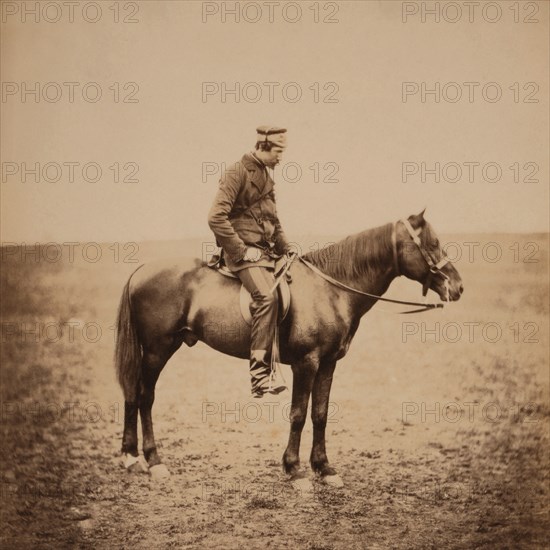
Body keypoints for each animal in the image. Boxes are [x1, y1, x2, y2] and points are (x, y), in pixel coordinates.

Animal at [115, 211, 466, 492]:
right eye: (432, 243)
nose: (458, 287)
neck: (332, 289)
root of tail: (141, 269)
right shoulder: (305, 363)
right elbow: (298, 414)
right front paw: (295, 470)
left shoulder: (328, 363)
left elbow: (320, 414)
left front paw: (324, 468)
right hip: (158, 350)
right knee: (144, 396)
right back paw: (152, 460)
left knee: (133, 395)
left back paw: (131, 457)